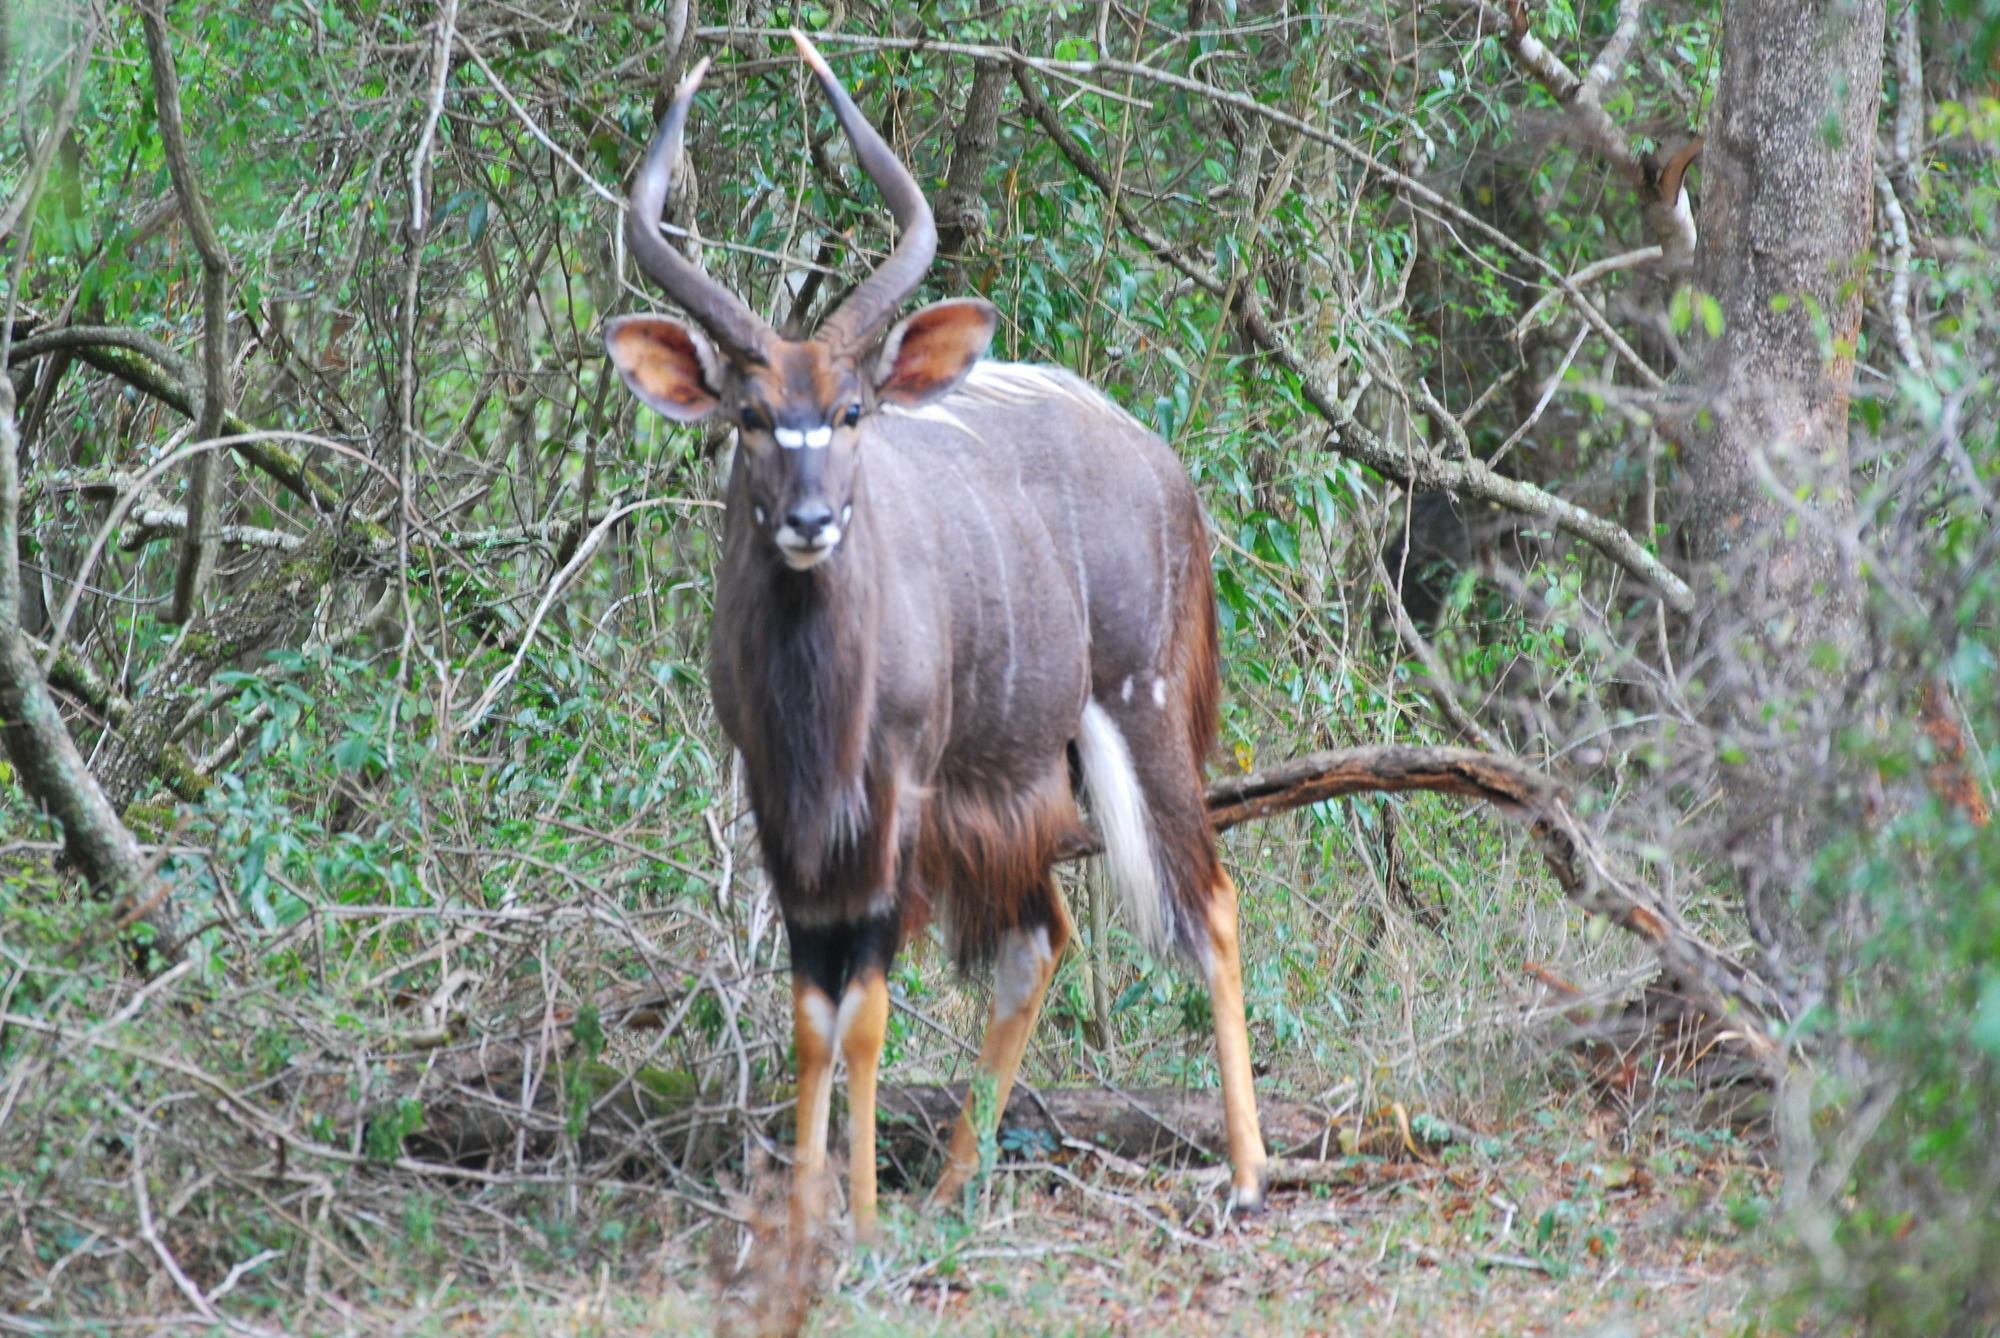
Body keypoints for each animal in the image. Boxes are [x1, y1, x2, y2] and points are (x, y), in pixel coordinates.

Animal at [600, 31, 1272, 1232]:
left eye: (852, 411)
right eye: (751, 416)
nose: (811, 519)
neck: (817, 701)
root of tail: (1164, 466)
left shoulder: (895, 799)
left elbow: (863, 1009)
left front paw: (859, 1222)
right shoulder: (784, 808)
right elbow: (809, 1011)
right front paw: (810, 1214)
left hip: (1137, 712)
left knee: (1210, 901)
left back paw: (1245, 1176)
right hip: (1020, 774)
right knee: (1039, 936)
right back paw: (959, 1180)